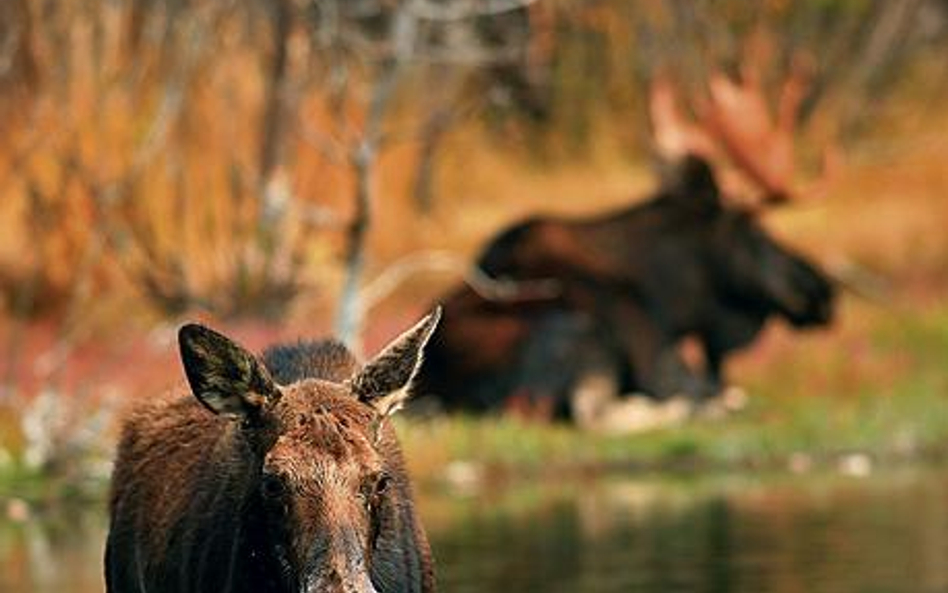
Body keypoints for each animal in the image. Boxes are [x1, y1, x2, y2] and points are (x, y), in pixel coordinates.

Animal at [414, 66, 836, 426]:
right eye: (757, 231)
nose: (824, 291)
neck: (672, 298)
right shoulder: (661, 361)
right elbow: (718, 394)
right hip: (573, 332)